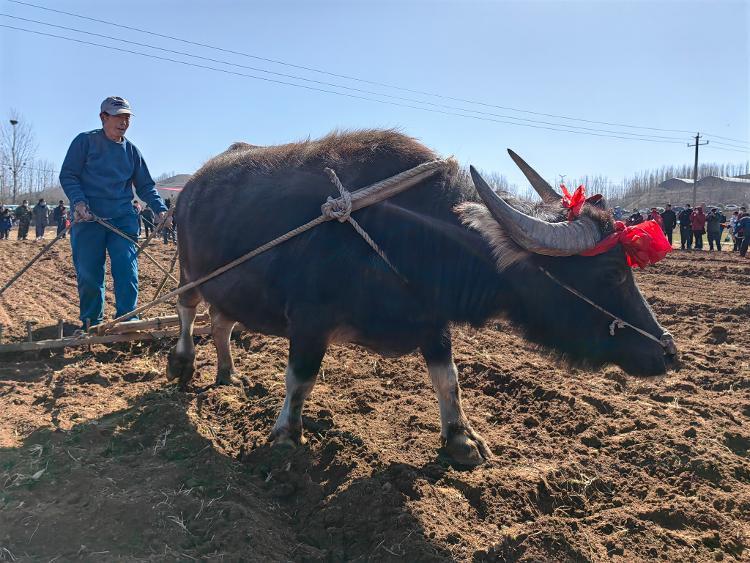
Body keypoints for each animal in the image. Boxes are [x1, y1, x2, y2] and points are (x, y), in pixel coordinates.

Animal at [169, 130, 676, 464]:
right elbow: (300, 380)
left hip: (229, 287)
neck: (405, 237)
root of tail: (191, 188)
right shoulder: (309, 322)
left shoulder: (433, 321)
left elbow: (448, 379)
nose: (668, 352)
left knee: (222, 322)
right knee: (188, 311)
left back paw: (228, 374)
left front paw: (461, 439)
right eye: (612, 272)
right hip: (190, 271)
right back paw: (182, 364)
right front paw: (286, 436)